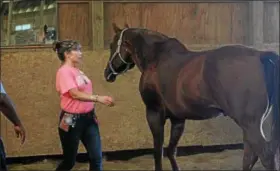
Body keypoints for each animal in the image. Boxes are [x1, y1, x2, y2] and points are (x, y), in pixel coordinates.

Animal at [103, 23, 280, 171]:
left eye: (112, 45)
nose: (107, 73)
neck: (156, 59)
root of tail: (261, 55)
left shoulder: (154, 114)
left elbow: (158, 152)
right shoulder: (178, 119)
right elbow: (171, 151)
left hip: (250, 124)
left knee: (264, 156)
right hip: (249, 126)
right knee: (250, 155)